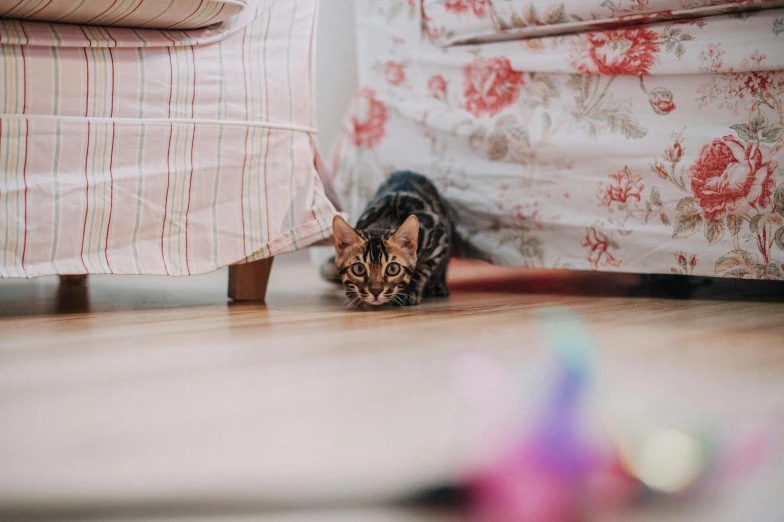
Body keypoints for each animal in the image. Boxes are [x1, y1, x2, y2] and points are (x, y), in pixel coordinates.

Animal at [324, 171, 456, 304]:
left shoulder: (439, 238)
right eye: (359, 269)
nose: (375, 291)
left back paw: (437, 286)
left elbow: (421, 269)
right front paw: (352, 293)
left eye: (393, 268)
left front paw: (410, 290)